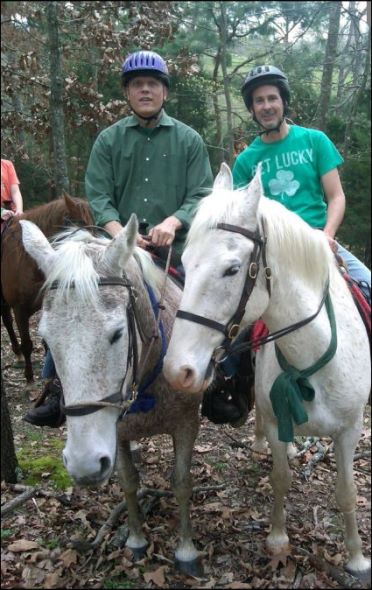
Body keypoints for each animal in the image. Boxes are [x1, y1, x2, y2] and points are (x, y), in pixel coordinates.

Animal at [1, 194, 93, 384]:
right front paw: (29, 377)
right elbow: (27, 343)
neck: (28, 258)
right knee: (7, 320)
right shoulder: (19, 309)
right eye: (75, 224)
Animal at [20, 219, 203, 580]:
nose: (84, 464)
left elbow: (182, 483)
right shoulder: (115, 434)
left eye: (118, 333)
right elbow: (129, 482)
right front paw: (135, 539)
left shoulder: (187, 423)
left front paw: (186, 550)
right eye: (46, 338)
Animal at [164, 163, 370, 580]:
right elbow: (280, 478)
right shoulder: (277, 422)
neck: (313, 357)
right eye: (186, 262)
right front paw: (278, 541)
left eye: (232, 269)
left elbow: (346, 492)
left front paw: (357, 558)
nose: (179, 370)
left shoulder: (350, 429)